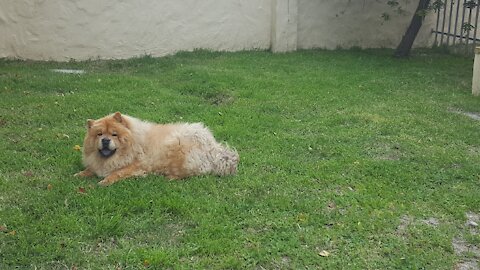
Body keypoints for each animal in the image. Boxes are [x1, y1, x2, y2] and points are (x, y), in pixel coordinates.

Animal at [74, 112, 238, 186]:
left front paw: (105, 181)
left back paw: (169, 177)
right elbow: (90, 169)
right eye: (99, 134)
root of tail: (213, 147)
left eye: (114, 134)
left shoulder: (137, 165)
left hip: (176, 148)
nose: (106, 140)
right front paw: (79, 174)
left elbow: (117, 172)